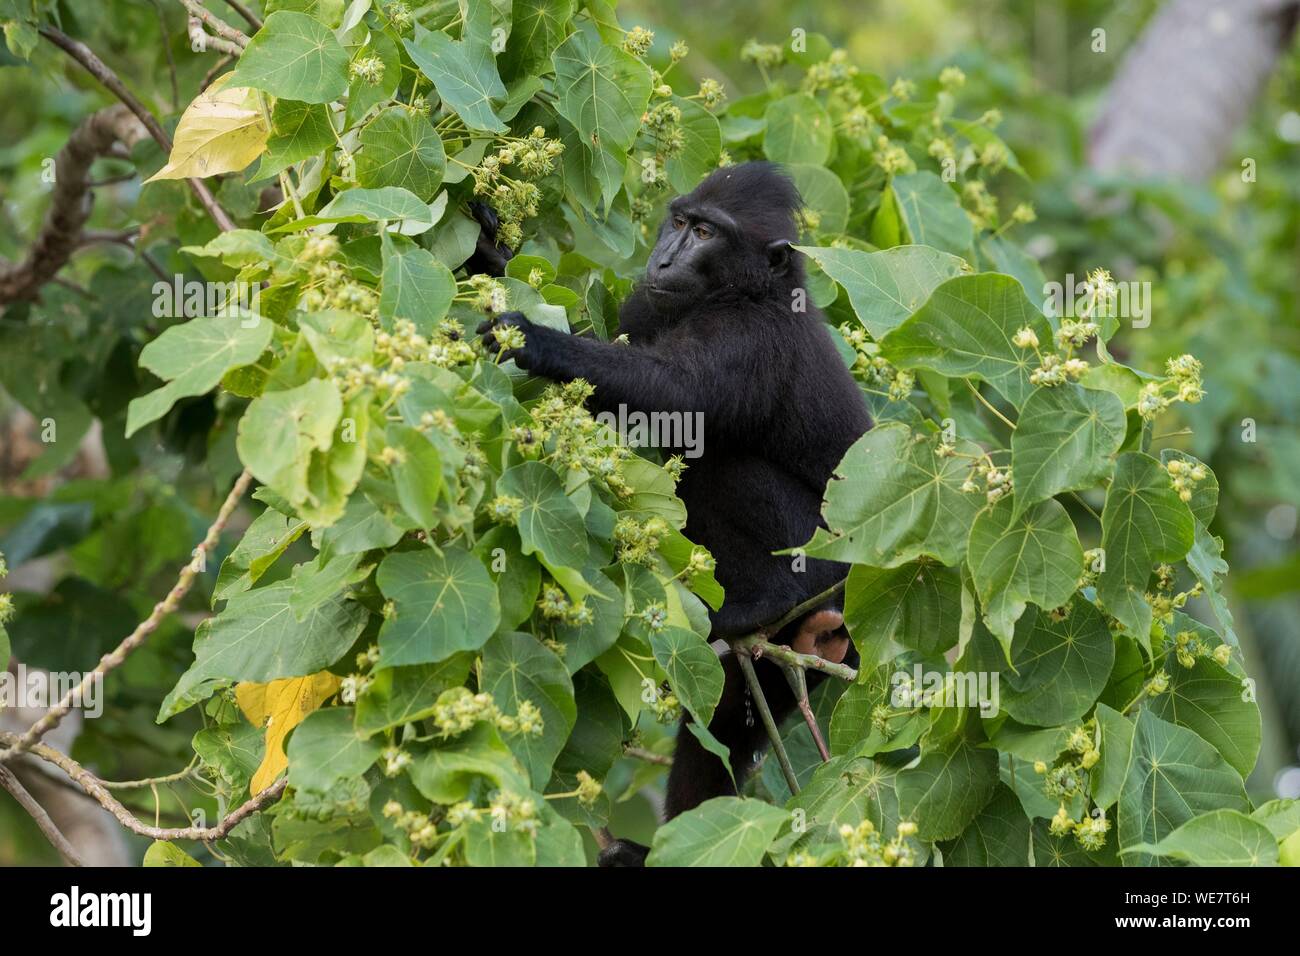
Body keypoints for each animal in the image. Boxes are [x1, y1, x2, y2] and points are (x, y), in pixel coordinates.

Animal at [478, 162, 871, 866]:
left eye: (708, 233)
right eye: (682, 221)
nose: (663, 257)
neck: (739, 293)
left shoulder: (750, 339)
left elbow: (673, 394)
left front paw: (535, 341)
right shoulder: (650, 305)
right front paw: (485, 251)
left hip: (825, 553)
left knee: (714, 457)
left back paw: (770, 597)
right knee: (729, 717)